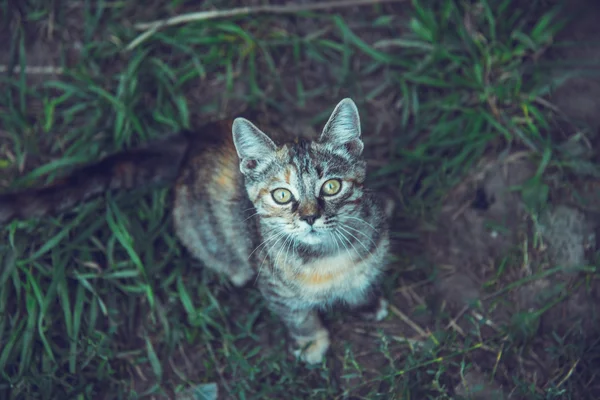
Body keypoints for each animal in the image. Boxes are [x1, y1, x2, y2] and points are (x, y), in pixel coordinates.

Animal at [0, 98, 394, 364]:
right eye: (282, 195)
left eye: (331, 187)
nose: (310, 217)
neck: (327, 258)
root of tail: (193, 141)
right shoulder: (276, 290)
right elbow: (298, 316)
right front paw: (311, 342)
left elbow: (363, 283)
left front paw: (367, 303)